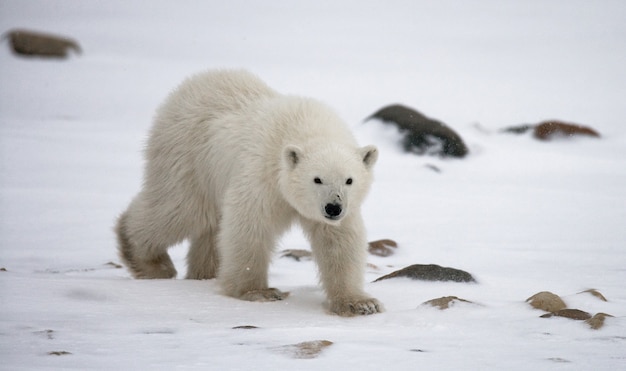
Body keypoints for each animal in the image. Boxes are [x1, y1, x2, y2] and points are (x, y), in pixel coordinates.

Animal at [115, 70, 382, 316]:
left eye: (349, 180)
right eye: (317, 179)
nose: (333, 208)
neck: (304, 126)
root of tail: (190, 83)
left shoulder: (341, 209)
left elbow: (338, 241)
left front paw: (360, 303)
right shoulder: (262, 174)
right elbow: (251, 226)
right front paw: (258, 291)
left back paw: (204, 273)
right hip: (187, 156)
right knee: (181, 210)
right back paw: (149, 260)